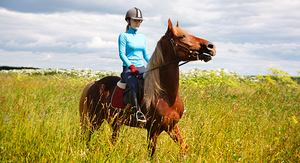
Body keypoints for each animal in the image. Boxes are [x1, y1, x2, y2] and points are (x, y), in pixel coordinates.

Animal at [79, 18, 216, 157]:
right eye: (182, 36)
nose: (211, 46)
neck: (165, 94)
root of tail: (95, 83)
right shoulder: (152, 130)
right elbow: (152, 154)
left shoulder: (172, 126)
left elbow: (184, 148)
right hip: (94, 120)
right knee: (86, 138)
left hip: (114, 121)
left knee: (111, 140)